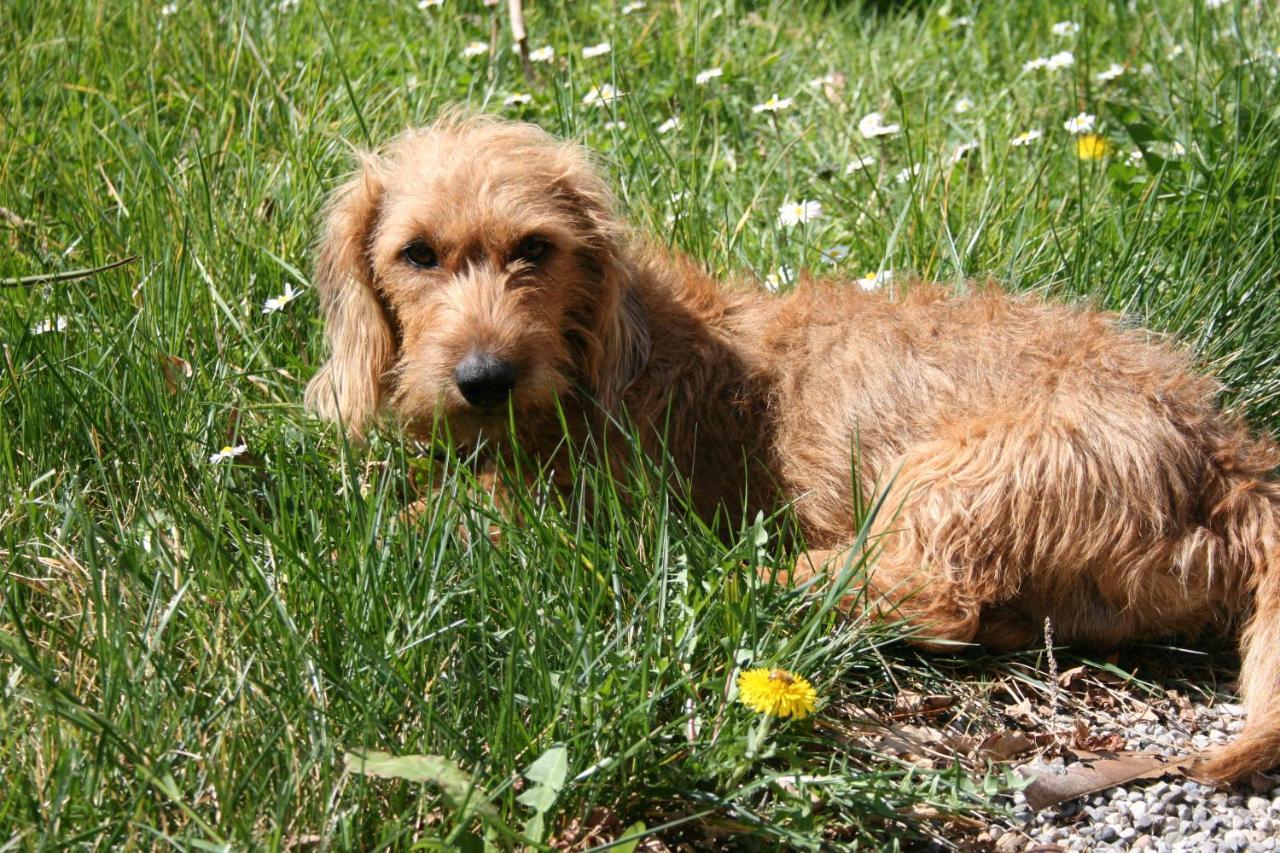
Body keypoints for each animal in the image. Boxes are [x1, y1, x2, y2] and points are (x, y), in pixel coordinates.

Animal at [307, 114, 1280, 783]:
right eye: (417, 254)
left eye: (535, 249)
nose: (483, 378)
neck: (610, 347)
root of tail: (1225, 456)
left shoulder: (589, 498)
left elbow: (451, 514)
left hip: (953, 473)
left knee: (931, 595)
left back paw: (733, 574)